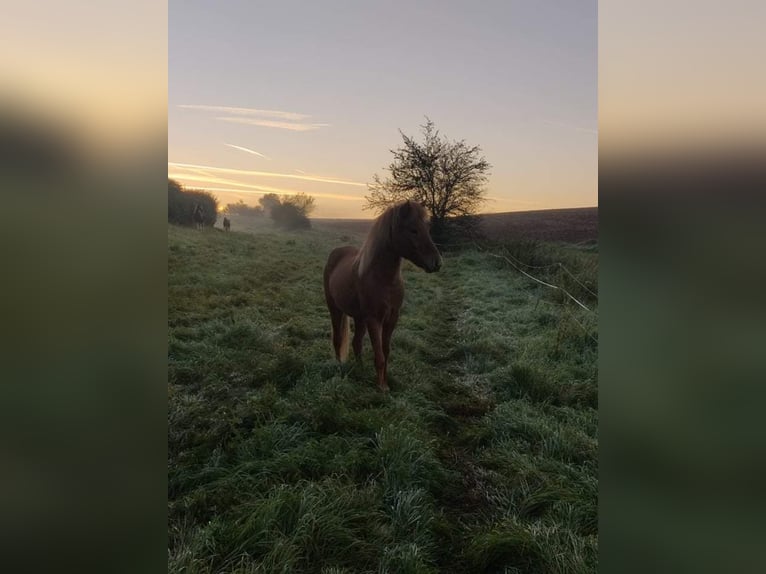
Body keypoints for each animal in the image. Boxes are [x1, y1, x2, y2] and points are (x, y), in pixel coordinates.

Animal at [324, 200, 444, 394]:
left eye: (427, 228)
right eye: (413, 230)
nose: (437, 263)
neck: (384, 280)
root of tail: (336, 252)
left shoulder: (392, 318)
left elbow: (386, 352)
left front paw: (385, 382)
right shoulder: (374, 320)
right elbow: (379, 354)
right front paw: (381, 388)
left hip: (359, 318)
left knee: (356, 343)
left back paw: (361, 369)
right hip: (335, 309)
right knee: (337, 339)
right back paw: (339, 367)